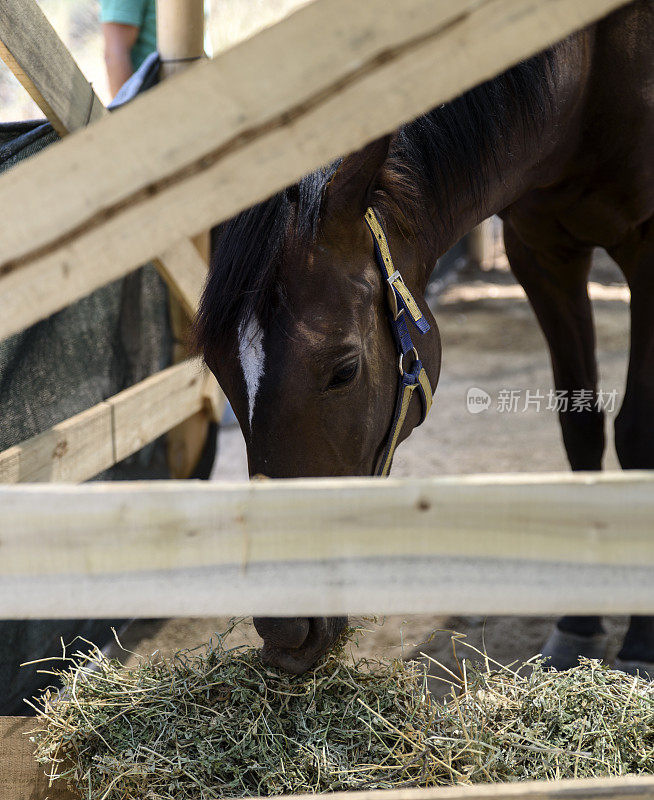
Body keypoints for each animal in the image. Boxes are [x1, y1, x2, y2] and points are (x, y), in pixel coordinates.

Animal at [200, 0, 654, 676]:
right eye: (219, 369)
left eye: (342, 370)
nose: (283, 630)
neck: (594, 54)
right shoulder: (539, 247)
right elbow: (581, 428)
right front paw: (580, 625)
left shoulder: (649, 248)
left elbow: (638, 435)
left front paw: (641, 641)